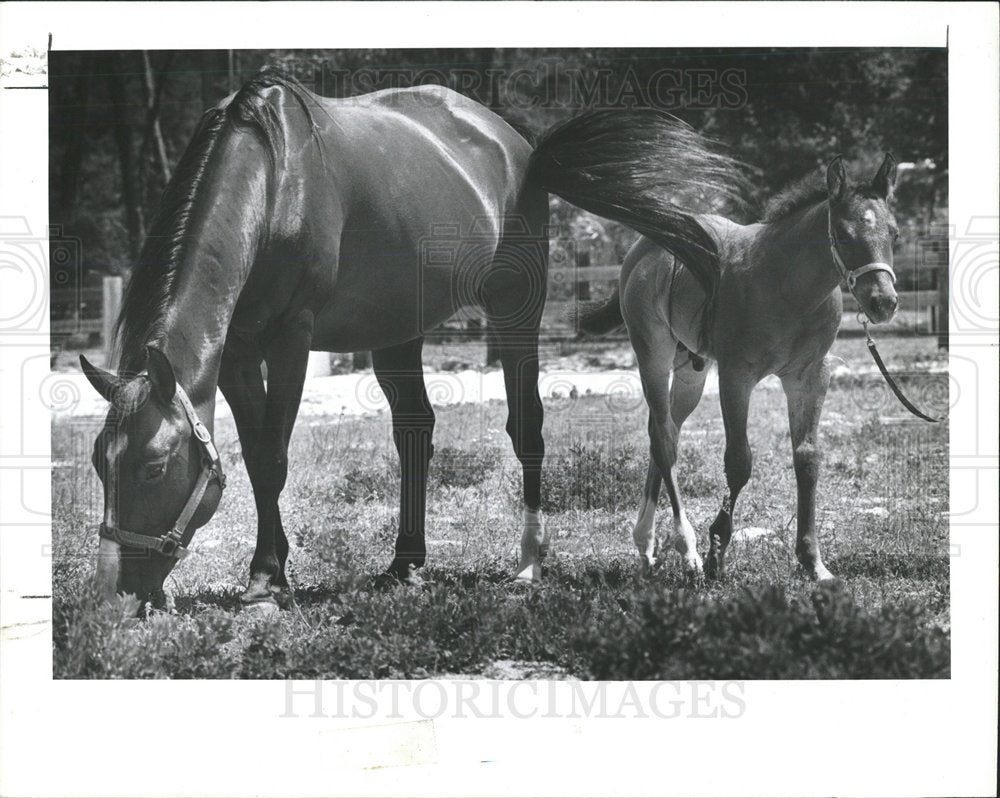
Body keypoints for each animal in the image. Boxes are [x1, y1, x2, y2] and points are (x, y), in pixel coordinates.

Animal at [531, 112, 900, 581]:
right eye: (844, 233)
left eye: (894, 232)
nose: (883, 302)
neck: (787, 284)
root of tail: (646, 245)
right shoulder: (737, 376)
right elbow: (739, 461)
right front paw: (716, 549)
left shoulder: (810, 377)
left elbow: (808, 460)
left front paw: (812, 561)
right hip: (652, 354)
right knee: (665, 439)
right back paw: (685, 548)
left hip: (692, 369)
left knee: (662, 432)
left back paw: (646, 544)